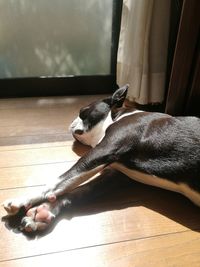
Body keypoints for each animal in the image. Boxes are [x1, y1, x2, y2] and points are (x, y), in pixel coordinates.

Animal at [2, 85, 200, 232]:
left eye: (83, 112)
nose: (71, 121)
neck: (116, 116)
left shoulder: (105, 150)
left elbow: (60, 180)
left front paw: (22, 199)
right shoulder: (116, 176)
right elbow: (80, 190)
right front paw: (44, 212)